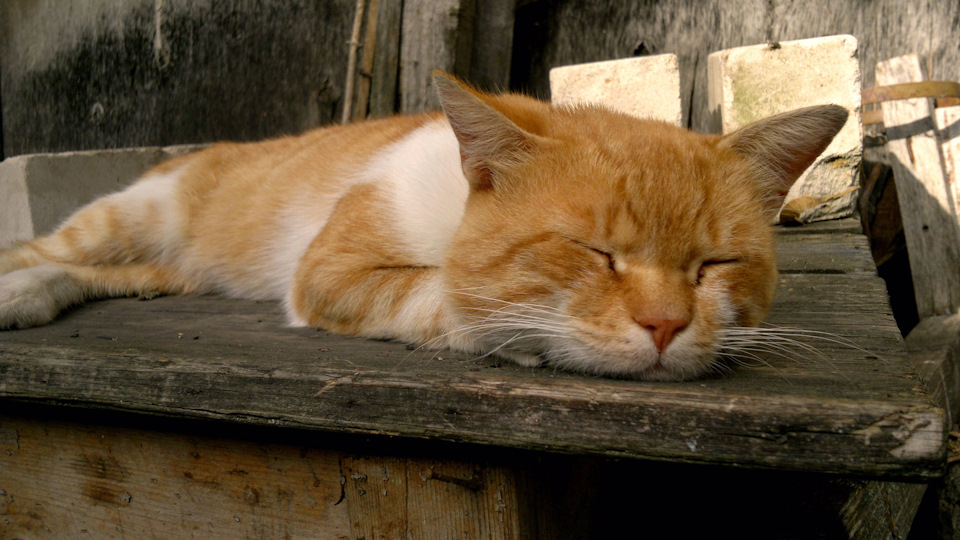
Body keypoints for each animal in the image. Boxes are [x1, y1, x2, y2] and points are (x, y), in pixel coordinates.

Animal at [0, 74, 848, 382]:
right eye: (593, 252)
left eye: (716, 264)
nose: (668, 326)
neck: (455, 214)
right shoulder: (327, 273)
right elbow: (439, 295)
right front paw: (515, 331)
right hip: (132, 214)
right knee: (45, 248)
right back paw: (15, 286)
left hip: (170, 265)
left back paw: (31, 296)